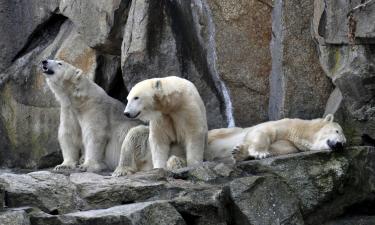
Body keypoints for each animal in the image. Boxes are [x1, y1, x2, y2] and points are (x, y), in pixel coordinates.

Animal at [207, 114, 348, 162]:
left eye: (345, 143)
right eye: (337, 131)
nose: (339, 144)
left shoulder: (292, 144)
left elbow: (279, 149)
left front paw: (239, 152)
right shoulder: (287, 124)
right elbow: (265, 131)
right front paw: (260, 153)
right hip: (223, 132)